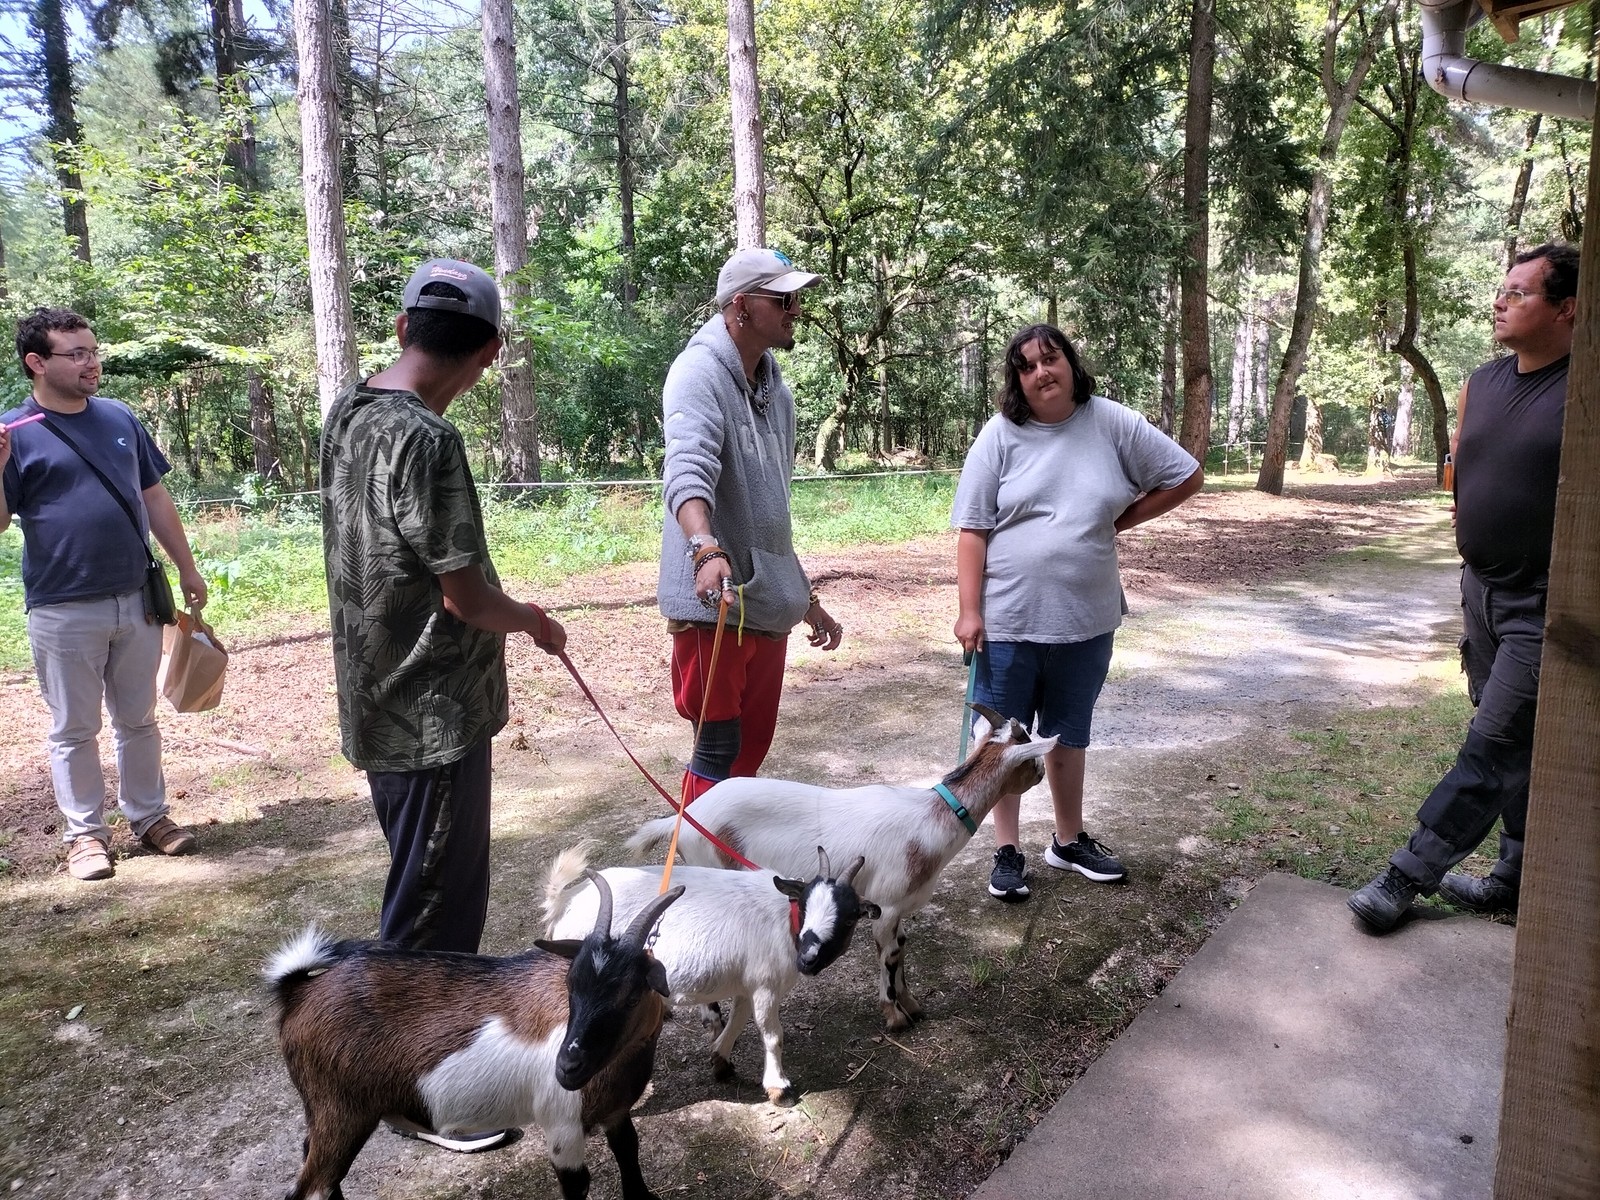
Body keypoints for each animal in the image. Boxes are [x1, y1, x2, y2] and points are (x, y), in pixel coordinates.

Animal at [260, 876, 681, 1200]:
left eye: (631, 996)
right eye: (570, 984)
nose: (567, 1067)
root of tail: (299, 991)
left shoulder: (616, 1113)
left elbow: (629, 1154)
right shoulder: (562, 1125)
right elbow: (577, 1185)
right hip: (340, 1110)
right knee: (311, 1187)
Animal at [544, 844, 883, 1107]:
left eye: (850, 918)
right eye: (803, 905)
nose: (808, 959)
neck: (784, 923)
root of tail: (564, 903)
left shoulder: (749, 984)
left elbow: (738, 1020)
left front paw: (721, 1063)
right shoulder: (766, 985)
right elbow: (773, 1035)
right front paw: (779, 1089)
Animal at [627, 704, 1062, 1036]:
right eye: (1029, 752)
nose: (1042, 773)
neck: (932, 820)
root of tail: (681, 819)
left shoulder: (898, 909)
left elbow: (901, 950)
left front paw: (912, 1005)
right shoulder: (886, 905)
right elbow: (888, 956)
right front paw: (894, 1016)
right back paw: (711, 1018)